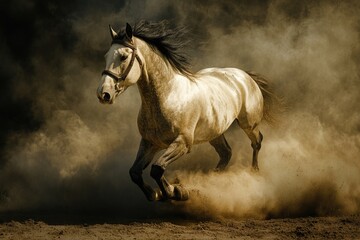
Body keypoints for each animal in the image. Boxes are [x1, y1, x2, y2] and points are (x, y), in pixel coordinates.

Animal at [96, 20, 282, 202]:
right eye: (106, 56)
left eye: (123, 56)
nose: (103, 94)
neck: (168, 97)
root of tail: (245, 75)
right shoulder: (150, 142)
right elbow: (135, 172)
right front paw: (155, 193)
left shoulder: (183, 143)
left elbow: (157, 168)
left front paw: (175, 191)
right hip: (214, 132)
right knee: (226, 153)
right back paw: (212, 182)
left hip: (248, 124)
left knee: (256, 142)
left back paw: (254, 173)